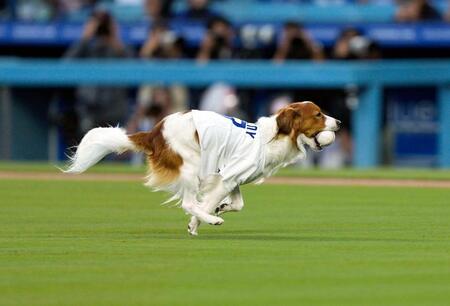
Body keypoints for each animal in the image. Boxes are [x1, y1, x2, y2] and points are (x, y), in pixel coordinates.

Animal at [65, 101, 342, 235]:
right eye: (318, 114)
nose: (339, 122)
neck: (269, 139)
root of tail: (154, 131)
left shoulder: (231, 176)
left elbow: (237, 204)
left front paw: (221, 207)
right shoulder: (227, 176)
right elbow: (206, 204)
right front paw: (200, 221)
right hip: (191, 166)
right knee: (188, 201)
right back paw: (211, 220)